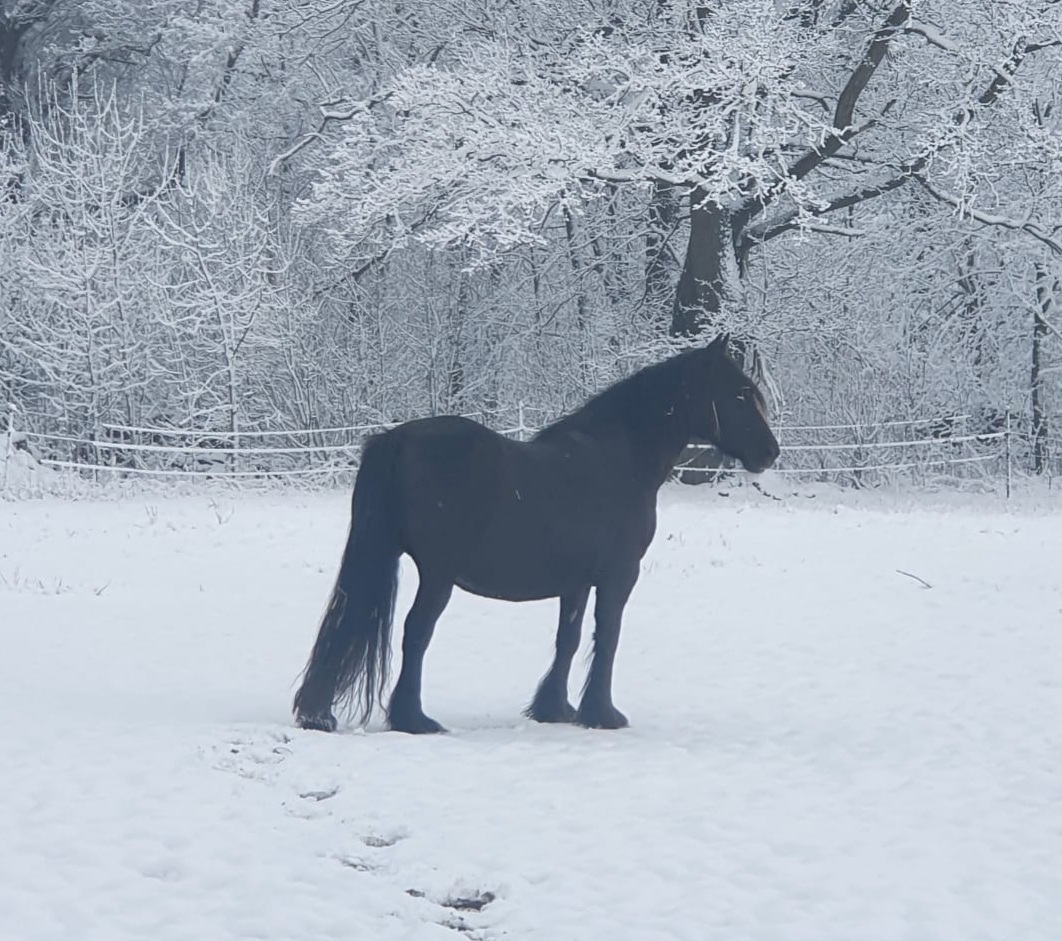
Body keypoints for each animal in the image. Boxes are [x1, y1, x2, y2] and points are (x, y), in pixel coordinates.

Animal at [295, 339, 777, 734]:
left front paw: (555, 709)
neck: (619, 459)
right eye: (739, 392)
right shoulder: (619, 576)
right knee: (417, 632)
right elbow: (608, 636)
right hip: (437, 575)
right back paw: (414, 719)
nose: (769, 453)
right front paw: (603, 714)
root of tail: (395, 440)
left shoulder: (577, 582)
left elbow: (570, 637)